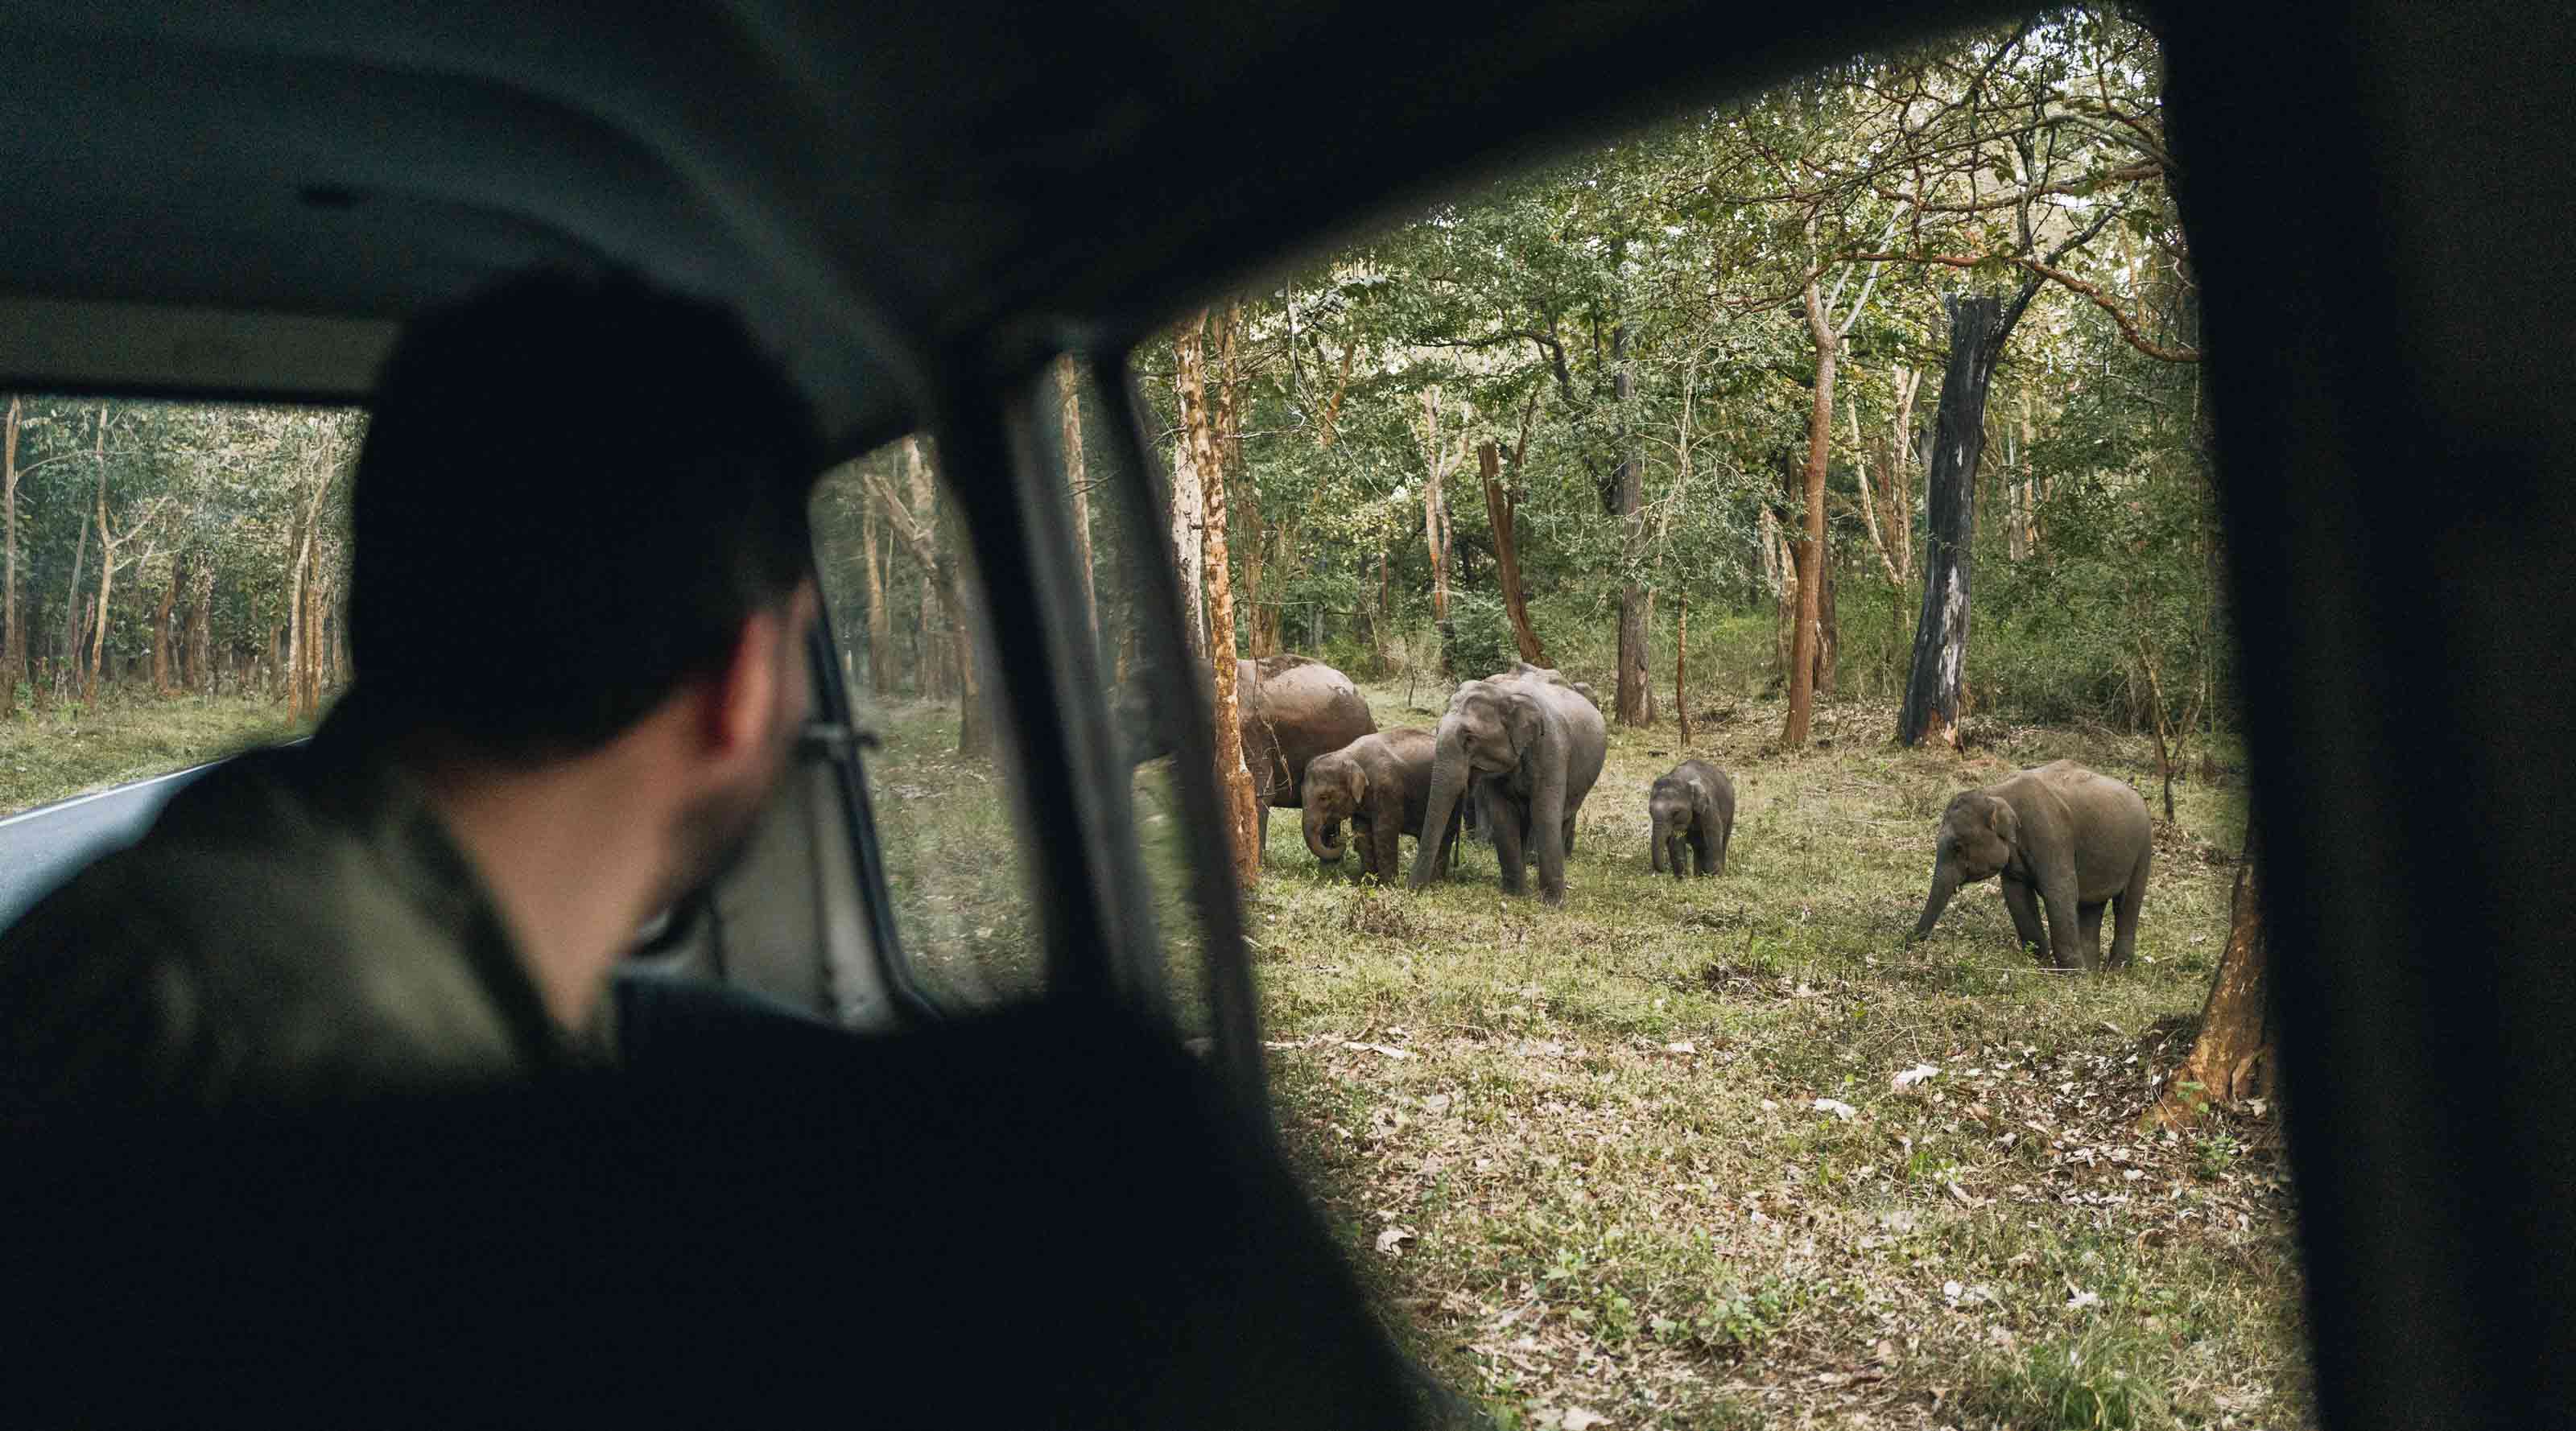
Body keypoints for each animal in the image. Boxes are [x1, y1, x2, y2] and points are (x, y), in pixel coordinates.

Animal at [1298, 731, 1463, 875]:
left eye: (1323, 798)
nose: (1339, 840)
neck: (1347, 754)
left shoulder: (1388, 790)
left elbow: (1384, 832)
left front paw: (1388, 884)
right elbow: (1362, 832)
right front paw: (1368, 881)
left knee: (1445, 834)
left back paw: (1436, 880)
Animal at [1422, 664, 1597, 901]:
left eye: (1469, 738)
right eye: (1437, 729)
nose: (1416, 888)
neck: (1506, 694)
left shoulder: (1552, 749)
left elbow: (1545, 813)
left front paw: (1553, 903)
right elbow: (1503, 815)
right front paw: (1517, 896)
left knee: (1564, 814)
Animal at [1649, 761, 1731, 869]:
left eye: (1676, 812)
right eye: (1650, 811)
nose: (1665, 869)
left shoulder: (1710, 808)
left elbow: (1713, 842)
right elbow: (1677, 847)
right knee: (1699, 848)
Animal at [1916, 761, 2153, 972]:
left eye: (1957, 847)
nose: (1912, 945)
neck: (1995, 791)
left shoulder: (2051, 837)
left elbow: (2060, 892)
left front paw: (2072, 977)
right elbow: (2017, 895)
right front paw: (2040, 965)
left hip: (2144, 847)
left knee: (2128, 902)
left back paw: (2115, 972)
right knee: (2091, 907)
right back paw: (2093, 973)